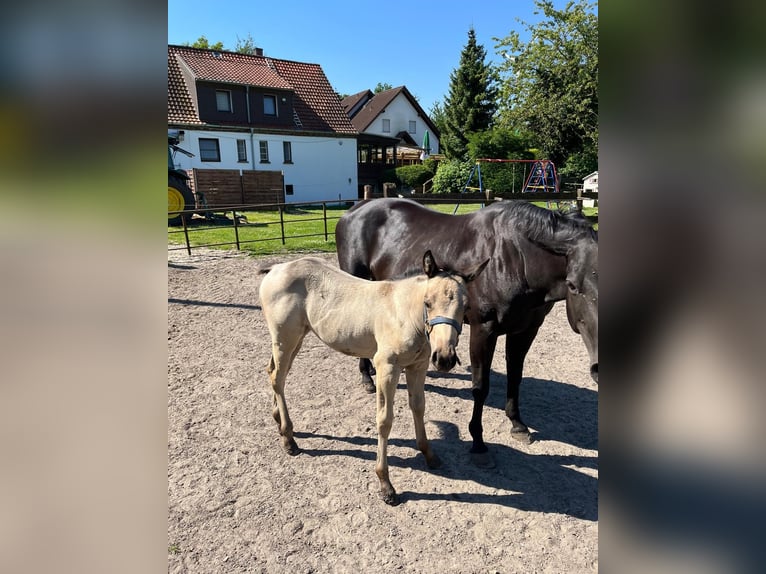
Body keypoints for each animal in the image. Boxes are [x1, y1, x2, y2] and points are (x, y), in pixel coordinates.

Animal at [258, 254, 486, 506]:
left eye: (465, 307)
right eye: (427, 303)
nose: (444, 358)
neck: (406, 315)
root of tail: (276, 268)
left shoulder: (418, 366)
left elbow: (418, 407)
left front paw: (429, 454)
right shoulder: (386, 367)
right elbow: (385, 421)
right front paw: (386, 485)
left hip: (295, 339)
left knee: (274, 372)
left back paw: (278, 421)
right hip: (284, 339)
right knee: (277, 378)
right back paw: (288, 438)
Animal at [338, 198, 600, 464]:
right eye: (572, 285)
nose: (598, 368)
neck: (516, 258)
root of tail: (356, 209)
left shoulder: (526, 330)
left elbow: (515, 377)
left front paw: (517, 424)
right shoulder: (483, 329)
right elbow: (480, 386)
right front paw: (478, 440)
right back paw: (367, 378)